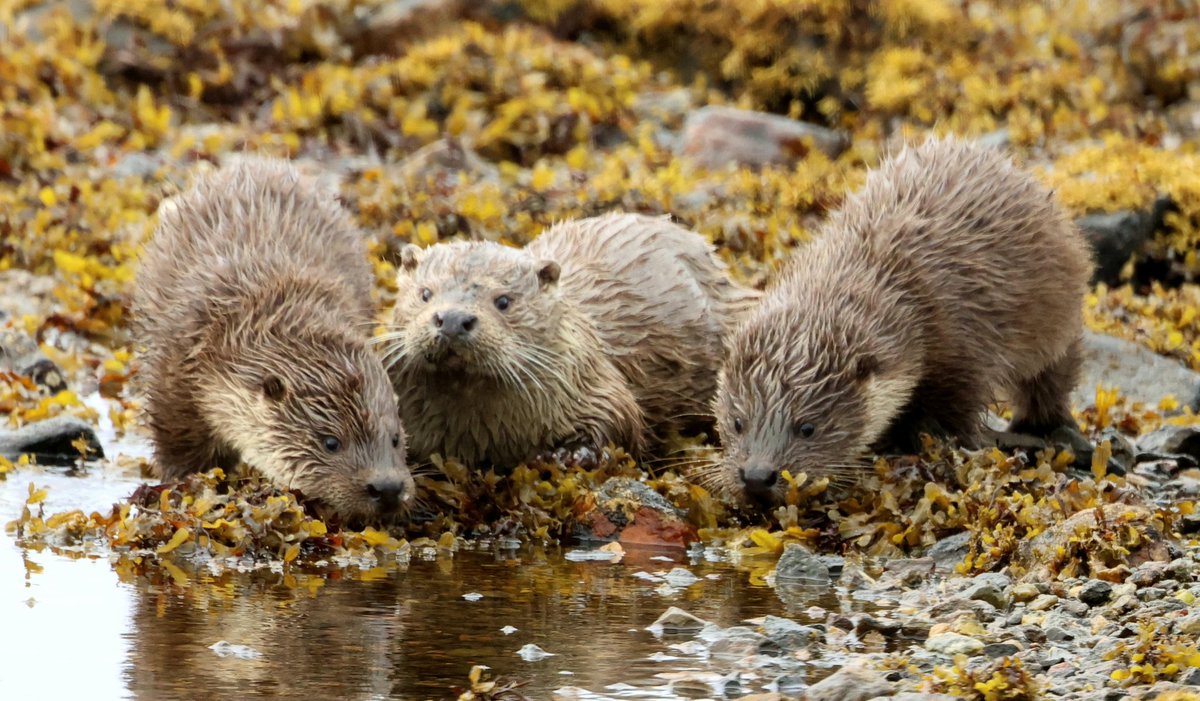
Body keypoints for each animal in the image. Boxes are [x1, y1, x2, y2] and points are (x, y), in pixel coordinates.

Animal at [384, 211, 758, 468]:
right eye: (425, 293)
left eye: (503, 301)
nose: (452, 320)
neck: (481, 434)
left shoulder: (596, 383)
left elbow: (621, 421)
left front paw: (569, 455)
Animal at [710, 138, 1099, 508]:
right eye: (737, 422)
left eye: (807, 427)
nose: (757, 476)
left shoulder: (965, 355)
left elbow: (957, 418)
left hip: (1057, 323)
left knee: (1053, 378)